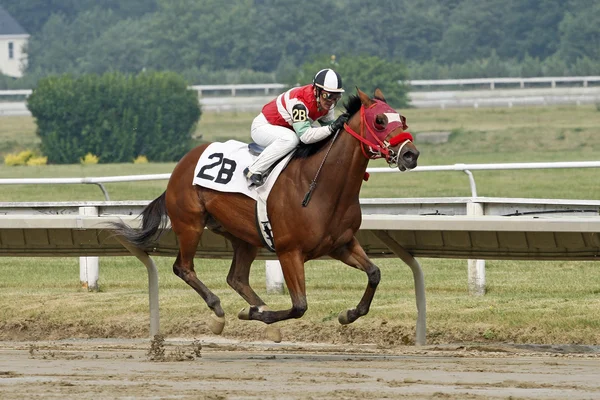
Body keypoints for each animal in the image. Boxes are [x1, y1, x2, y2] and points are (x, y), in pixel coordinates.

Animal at [113, 88, 422, 340]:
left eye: (402, 118)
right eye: (380, 121)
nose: (411, 154)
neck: (321, 186)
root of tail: (182, 165)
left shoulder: (341, 244)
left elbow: (374, 273)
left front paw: (348, 314)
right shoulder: (289, 251)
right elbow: (299, 306)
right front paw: (254, 314)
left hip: (243, 235)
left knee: (236, 278)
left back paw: (257, 306)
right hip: (190, 224)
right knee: (184, 268)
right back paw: (221, 312)